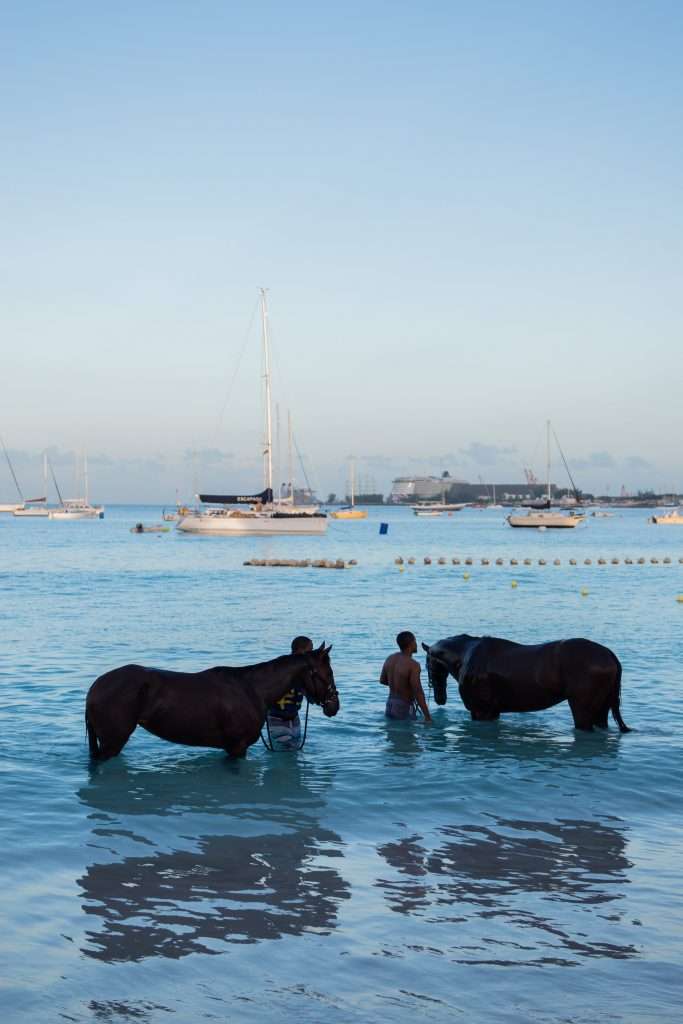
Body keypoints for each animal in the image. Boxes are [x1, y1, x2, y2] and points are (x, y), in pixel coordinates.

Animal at [85, 647, 339, 761]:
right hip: (112, 743)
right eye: (326, 673)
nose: (334, 705)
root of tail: (96, 686)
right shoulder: (237, 747)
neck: (252, 689)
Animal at [423, 630, 634, 737]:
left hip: (582, 709)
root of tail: (609, 654)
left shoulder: (481, 711)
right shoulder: (492, 712)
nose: (439, 698)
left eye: (427, 665)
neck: (466, 655)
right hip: (601, 708)